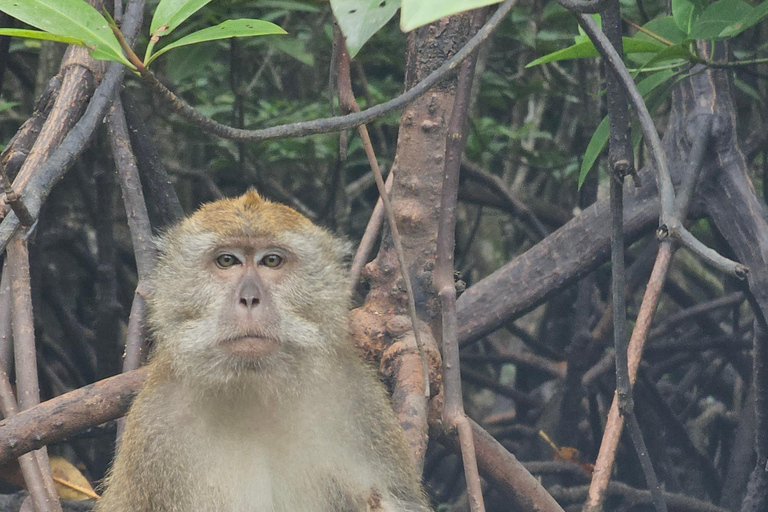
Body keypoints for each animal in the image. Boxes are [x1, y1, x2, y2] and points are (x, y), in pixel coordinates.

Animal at [95, 192, 426, 512]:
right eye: (227, 260)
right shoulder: (155, 426)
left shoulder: (356, 399)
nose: (250, 298)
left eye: (272, 261)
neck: (254, 389)